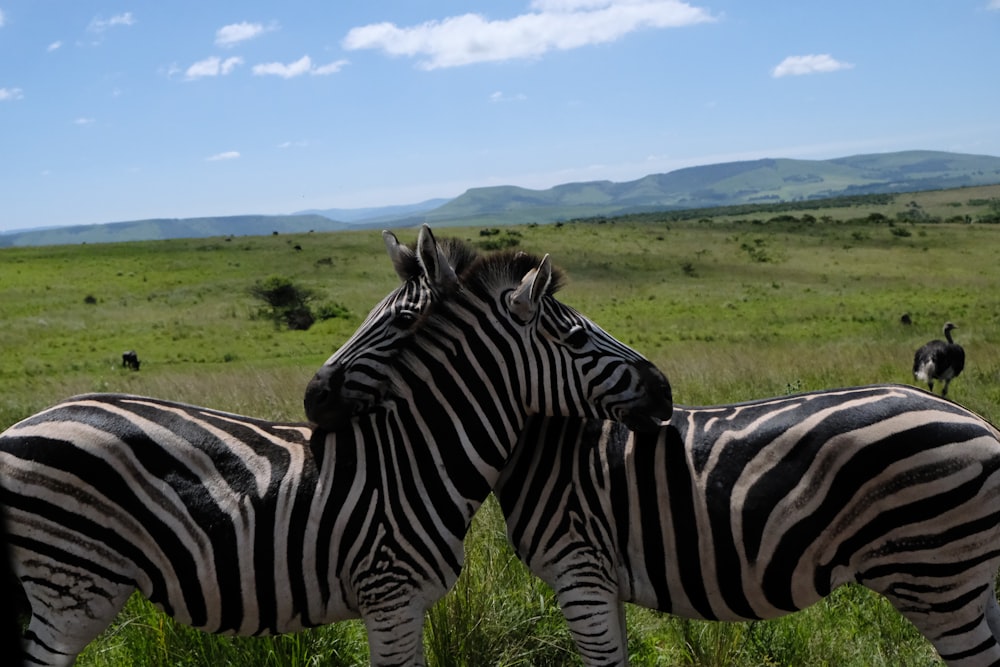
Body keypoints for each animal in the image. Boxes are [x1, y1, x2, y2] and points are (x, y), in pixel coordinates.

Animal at [1, 226, 672, 667]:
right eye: (578, 339)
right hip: (68, 586)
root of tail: (17, 428)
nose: (665, 391)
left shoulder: (402, 605)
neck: (418, 453)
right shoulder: (390, 597)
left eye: (400, 320)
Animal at [498, 386, 1000, 667]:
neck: (547, 446)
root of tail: (982, 423)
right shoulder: (602, 578)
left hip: (935, 577)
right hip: (968, 578)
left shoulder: (578, 567)